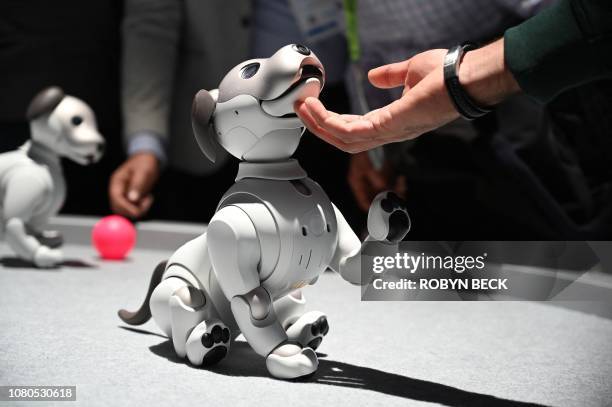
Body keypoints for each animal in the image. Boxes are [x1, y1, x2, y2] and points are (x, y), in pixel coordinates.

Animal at [0, 87, 104, 268]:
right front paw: (43, 255)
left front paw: (47, 239)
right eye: (76, 120)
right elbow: (14, 223)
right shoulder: (28, 183)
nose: (101, 145)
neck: (40, 159)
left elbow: (31, 230)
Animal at [118, 46, 412, 380]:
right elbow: (251, 301)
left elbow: (352, 267)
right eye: (250, 71)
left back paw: (310, 328)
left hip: (290, 296)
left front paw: (390, 219)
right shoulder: (230, 229)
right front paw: (284, 354)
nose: (302, 48)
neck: (279, 175)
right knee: (185, 303)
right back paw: (208, 342)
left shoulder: (334, 215)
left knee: (291, 301)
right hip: (177, 289)